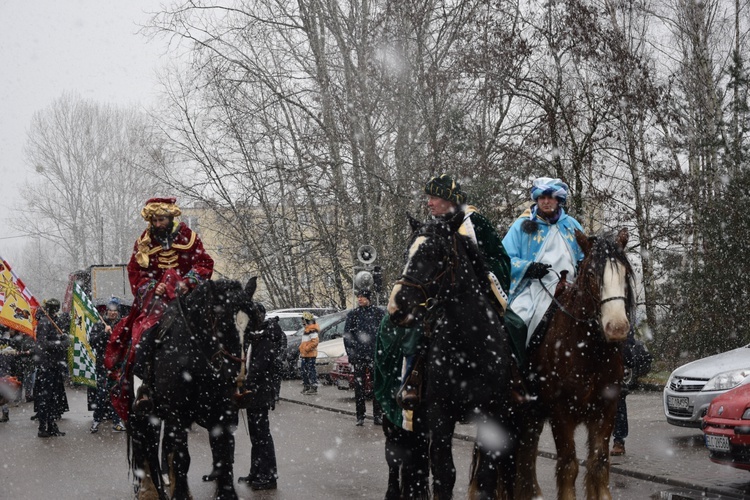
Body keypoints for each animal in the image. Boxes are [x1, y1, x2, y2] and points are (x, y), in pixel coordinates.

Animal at [128, 278, 260, 500]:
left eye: (251, 327)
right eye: (223, 323)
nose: (238, 376)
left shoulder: (222, 414)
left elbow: (224, 456)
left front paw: (226, 493)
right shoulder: (177, 414)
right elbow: (182, 459)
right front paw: (179, 494)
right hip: (145, 415)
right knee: (148, 449)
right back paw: (151, 490)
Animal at [388, 214, 516, 500]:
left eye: (434, 253)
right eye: (406, 253)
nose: (396, 307)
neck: (469, 347)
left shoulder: (492, 415)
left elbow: (485, 477)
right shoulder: (440, 415)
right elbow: (445, 474)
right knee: (400, 459)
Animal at [516, 230, 640, 500]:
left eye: (625, 273)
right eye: (592, 274)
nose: (617, 327)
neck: (588, 352)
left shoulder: (606, 409)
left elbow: (599, 462)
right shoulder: (561, 412)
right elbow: (568, 464)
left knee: (527, 452)